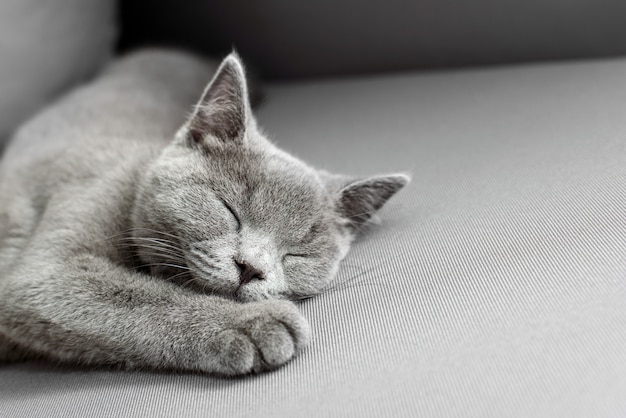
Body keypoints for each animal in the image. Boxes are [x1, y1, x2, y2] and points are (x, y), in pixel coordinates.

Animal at [0, 49, 408, 376]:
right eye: (229, 209)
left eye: (298, 253)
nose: (251, 267)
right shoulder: (54, 263)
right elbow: (141, 295)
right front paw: (254, 324)